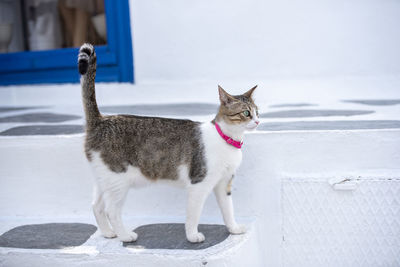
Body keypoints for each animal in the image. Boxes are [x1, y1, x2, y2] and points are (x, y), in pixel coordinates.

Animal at [77, 43, 260, 243]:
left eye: (257, 111)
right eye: (246, 113)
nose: (258, 121)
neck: (225, 139)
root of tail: (101, 120)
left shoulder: (223, 183)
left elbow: (228, 209)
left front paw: (233, 228)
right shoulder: (199, 183)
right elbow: (193, 214)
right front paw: (192, 235)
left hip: (105, 179)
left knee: (96, 206)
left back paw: (108, 232)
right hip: (118, 180)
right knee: (111, 210)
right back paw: (125, 235)